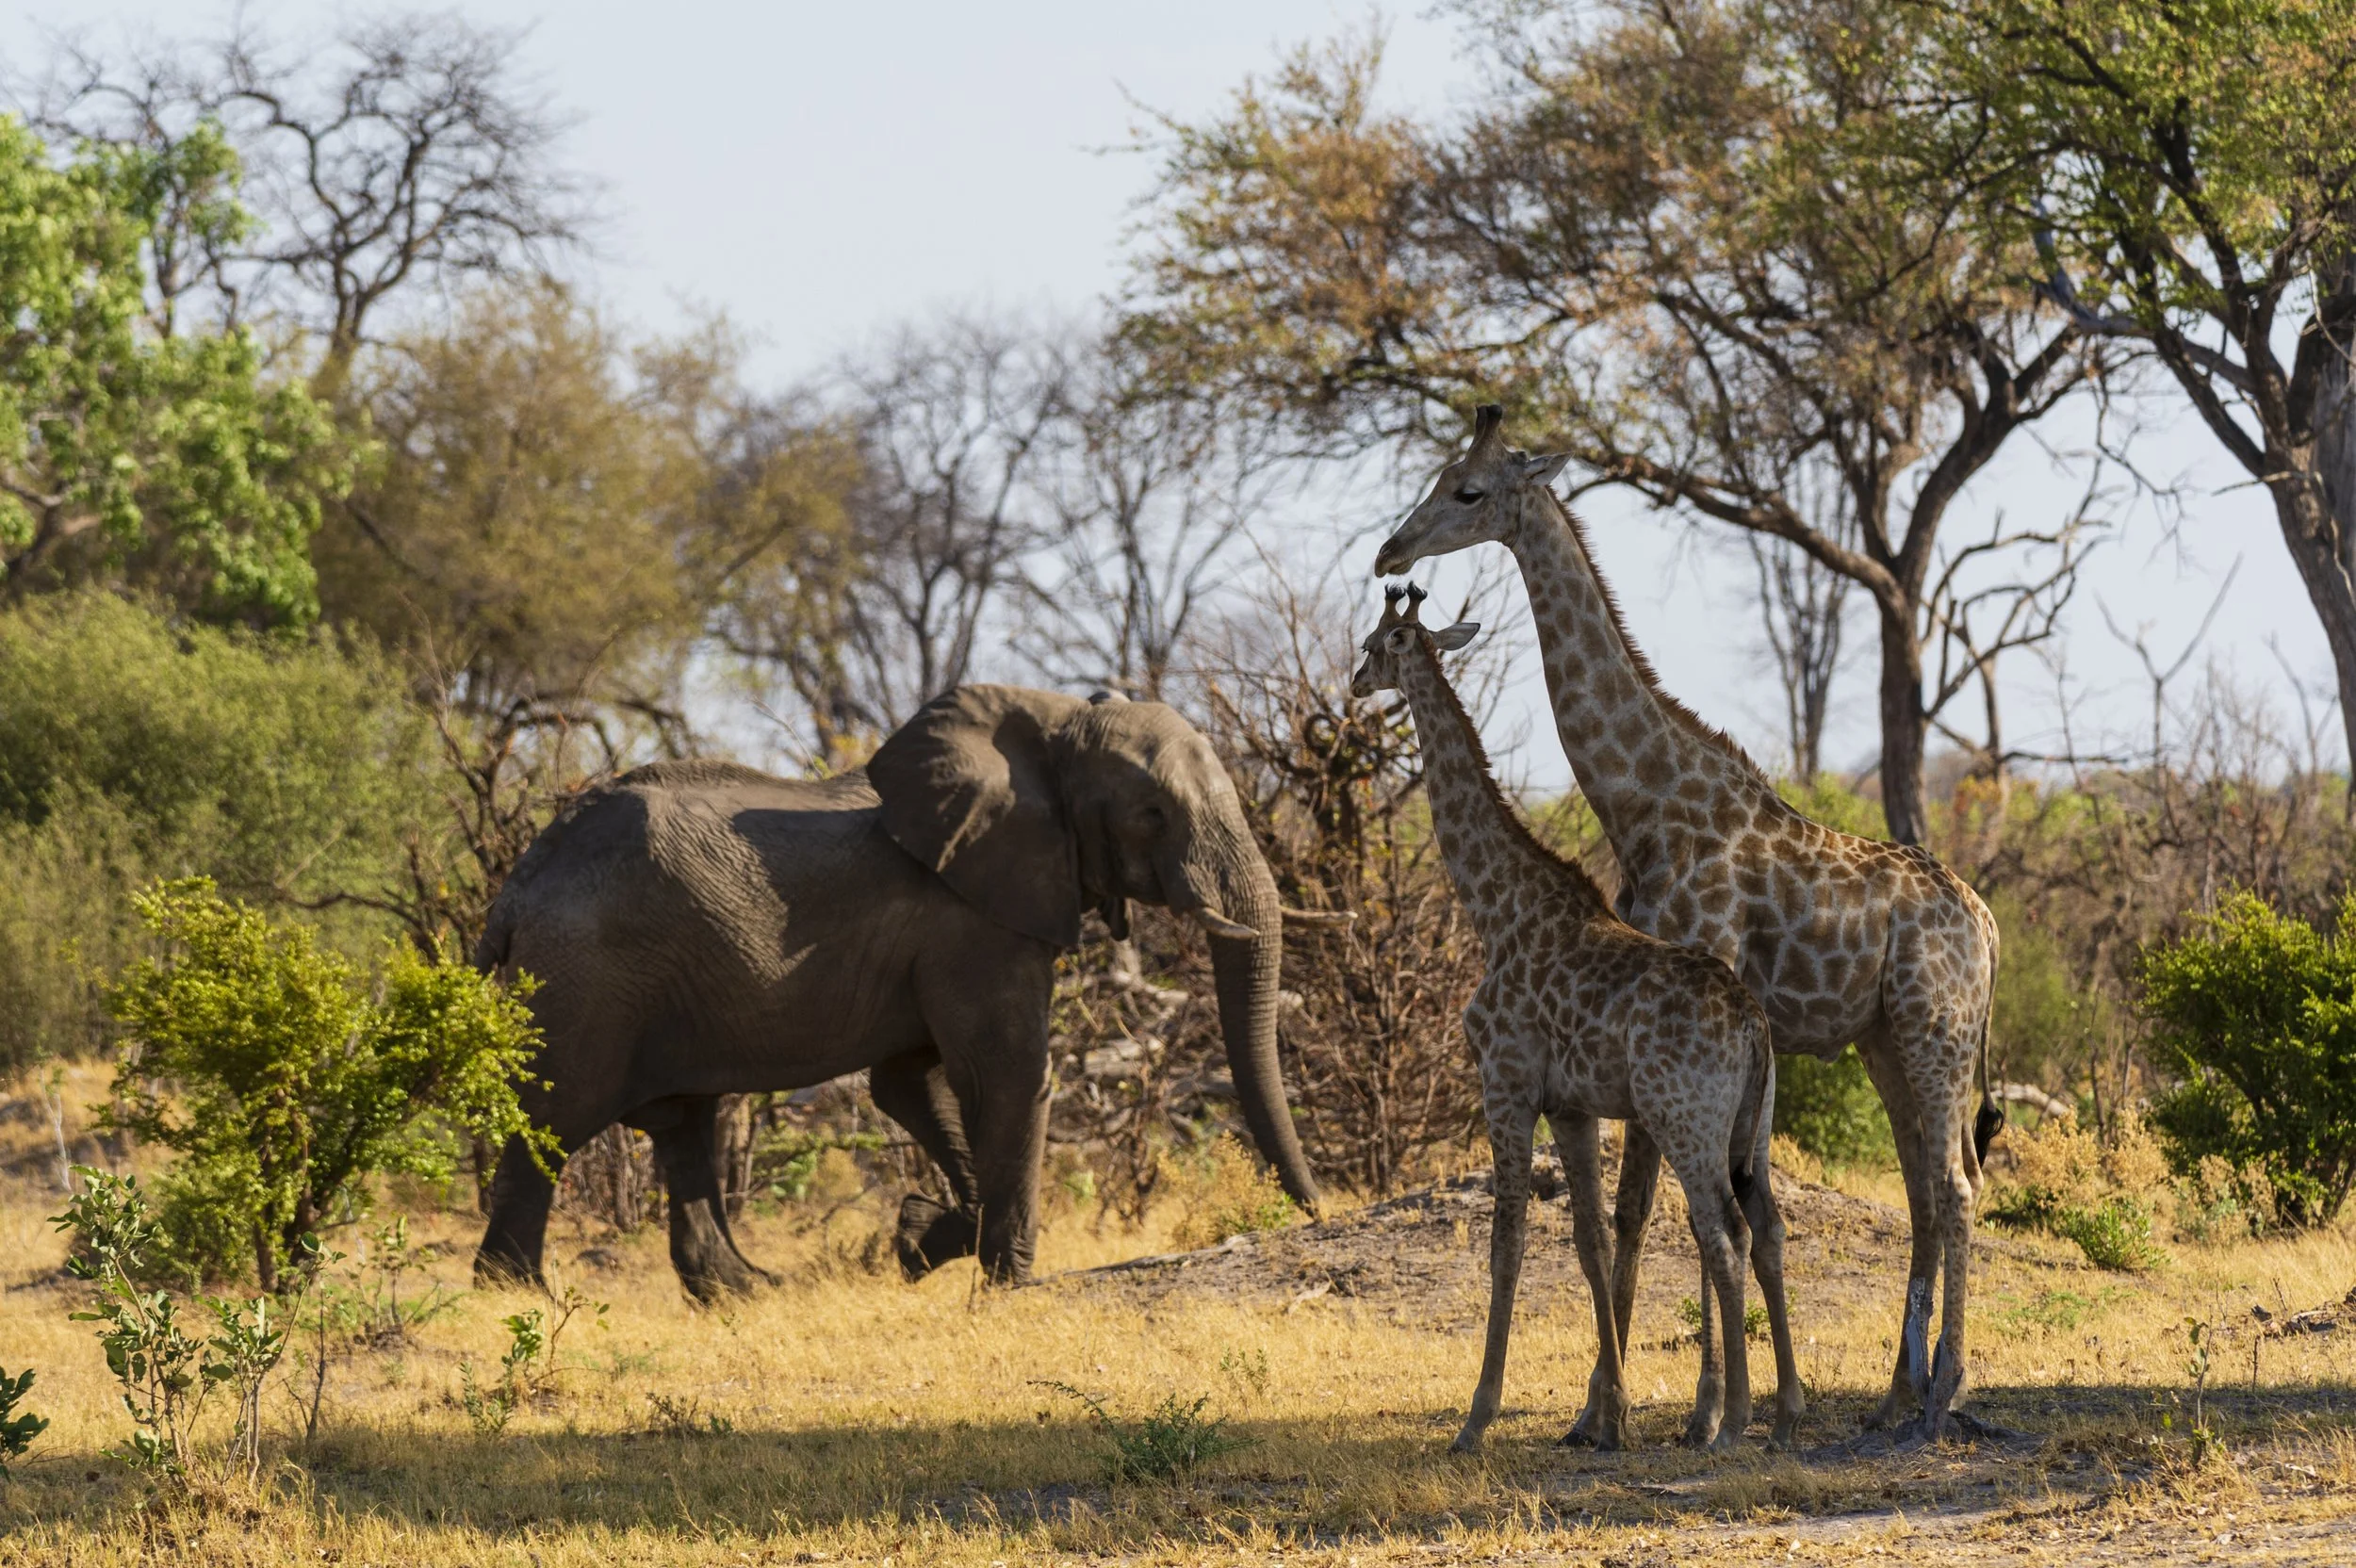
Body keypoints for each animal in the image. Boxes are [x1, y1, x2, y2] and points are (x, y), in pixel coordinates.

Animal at [1351, 584, 1802, 1454]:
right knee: (1764, 1225)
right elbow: (1589, 1243)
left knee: (1722, 1233)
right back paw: (1788, 1400)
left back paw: (1730, 1419)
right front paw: (1609, 1413)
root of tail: (1752, 1026)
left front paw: (1477, 1416)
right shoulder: (1571, 1104)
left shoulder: (1506, 1083)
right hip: (1751, 1125)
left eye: (1380, 642)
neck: (1494, 908)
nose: (1354, 684)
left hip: (1684, 1116)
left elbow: (1508, 1244)